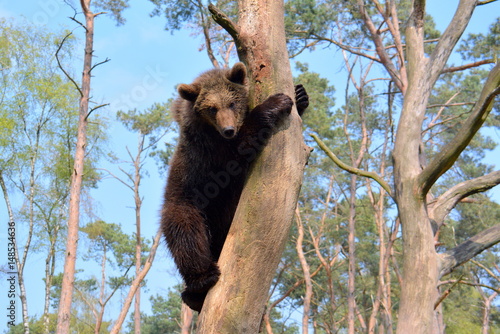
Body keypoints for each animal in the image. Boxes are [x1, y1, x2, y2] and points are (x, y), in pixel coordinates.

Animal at [161, 62, 308, 314]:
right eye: (211, 108)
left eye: (232, 102)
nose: (228, 129)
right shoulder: (212, 156)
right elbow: (241, 148)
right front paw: (275, 104)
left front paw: (299, 95)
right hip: (185, 205)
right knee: (186, 235)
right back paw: (200, 283)